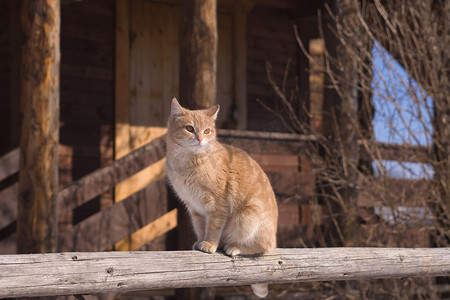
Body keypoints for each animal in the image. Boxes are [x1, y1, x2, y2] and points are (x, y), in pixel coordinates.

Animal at [165, 98, 278, 298]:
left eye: (207, 131)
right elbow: (201, 228)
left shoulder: (217, 204)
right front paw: (201, 242)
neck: (187, 162)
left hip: (247, 217)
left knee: (264, 248)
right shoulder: (195, 208)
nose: (199, 139)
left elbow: (213, 227)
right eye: (189, 128)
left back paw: (234, 246)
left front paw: (209, 244)